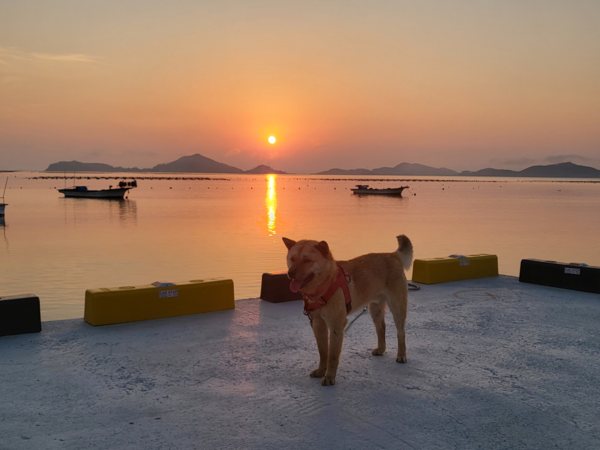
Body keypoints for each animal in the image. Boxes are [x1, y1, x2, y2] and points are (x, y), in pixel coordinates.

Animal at [282, 234, 412, 384]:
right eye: (292, 259)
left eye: (307, 260)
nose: (290, 273)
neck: (325, 284)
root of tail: (392, 255)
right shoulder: (318, 325)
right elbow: (323, 352)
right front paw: (321, 370)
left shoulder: (336, 326)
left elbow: (332, 355)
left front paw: (329, 377)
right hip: (375, 309)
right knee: (381, 327)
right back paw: (381, 349)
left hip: (397, 308)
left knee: (401, 332)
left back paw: (401, 355)